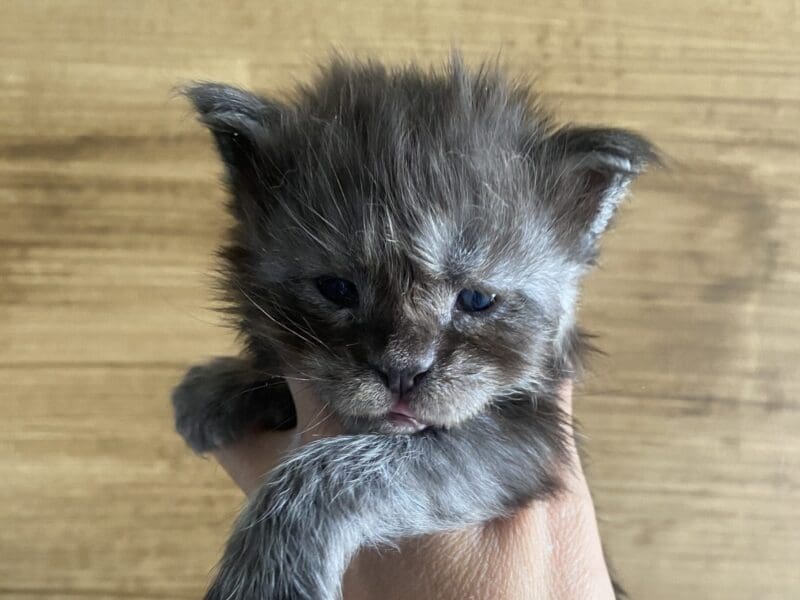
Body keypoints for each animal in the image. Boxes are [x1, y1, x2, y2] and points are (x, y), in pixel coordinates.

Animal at [172, 56, 652, 600]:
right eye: (338, 290)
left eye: (476, 301)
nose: (403, 371)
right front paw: (218, 389)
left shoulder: (525, 444)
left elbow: (335, 473)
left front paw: (267, 579)